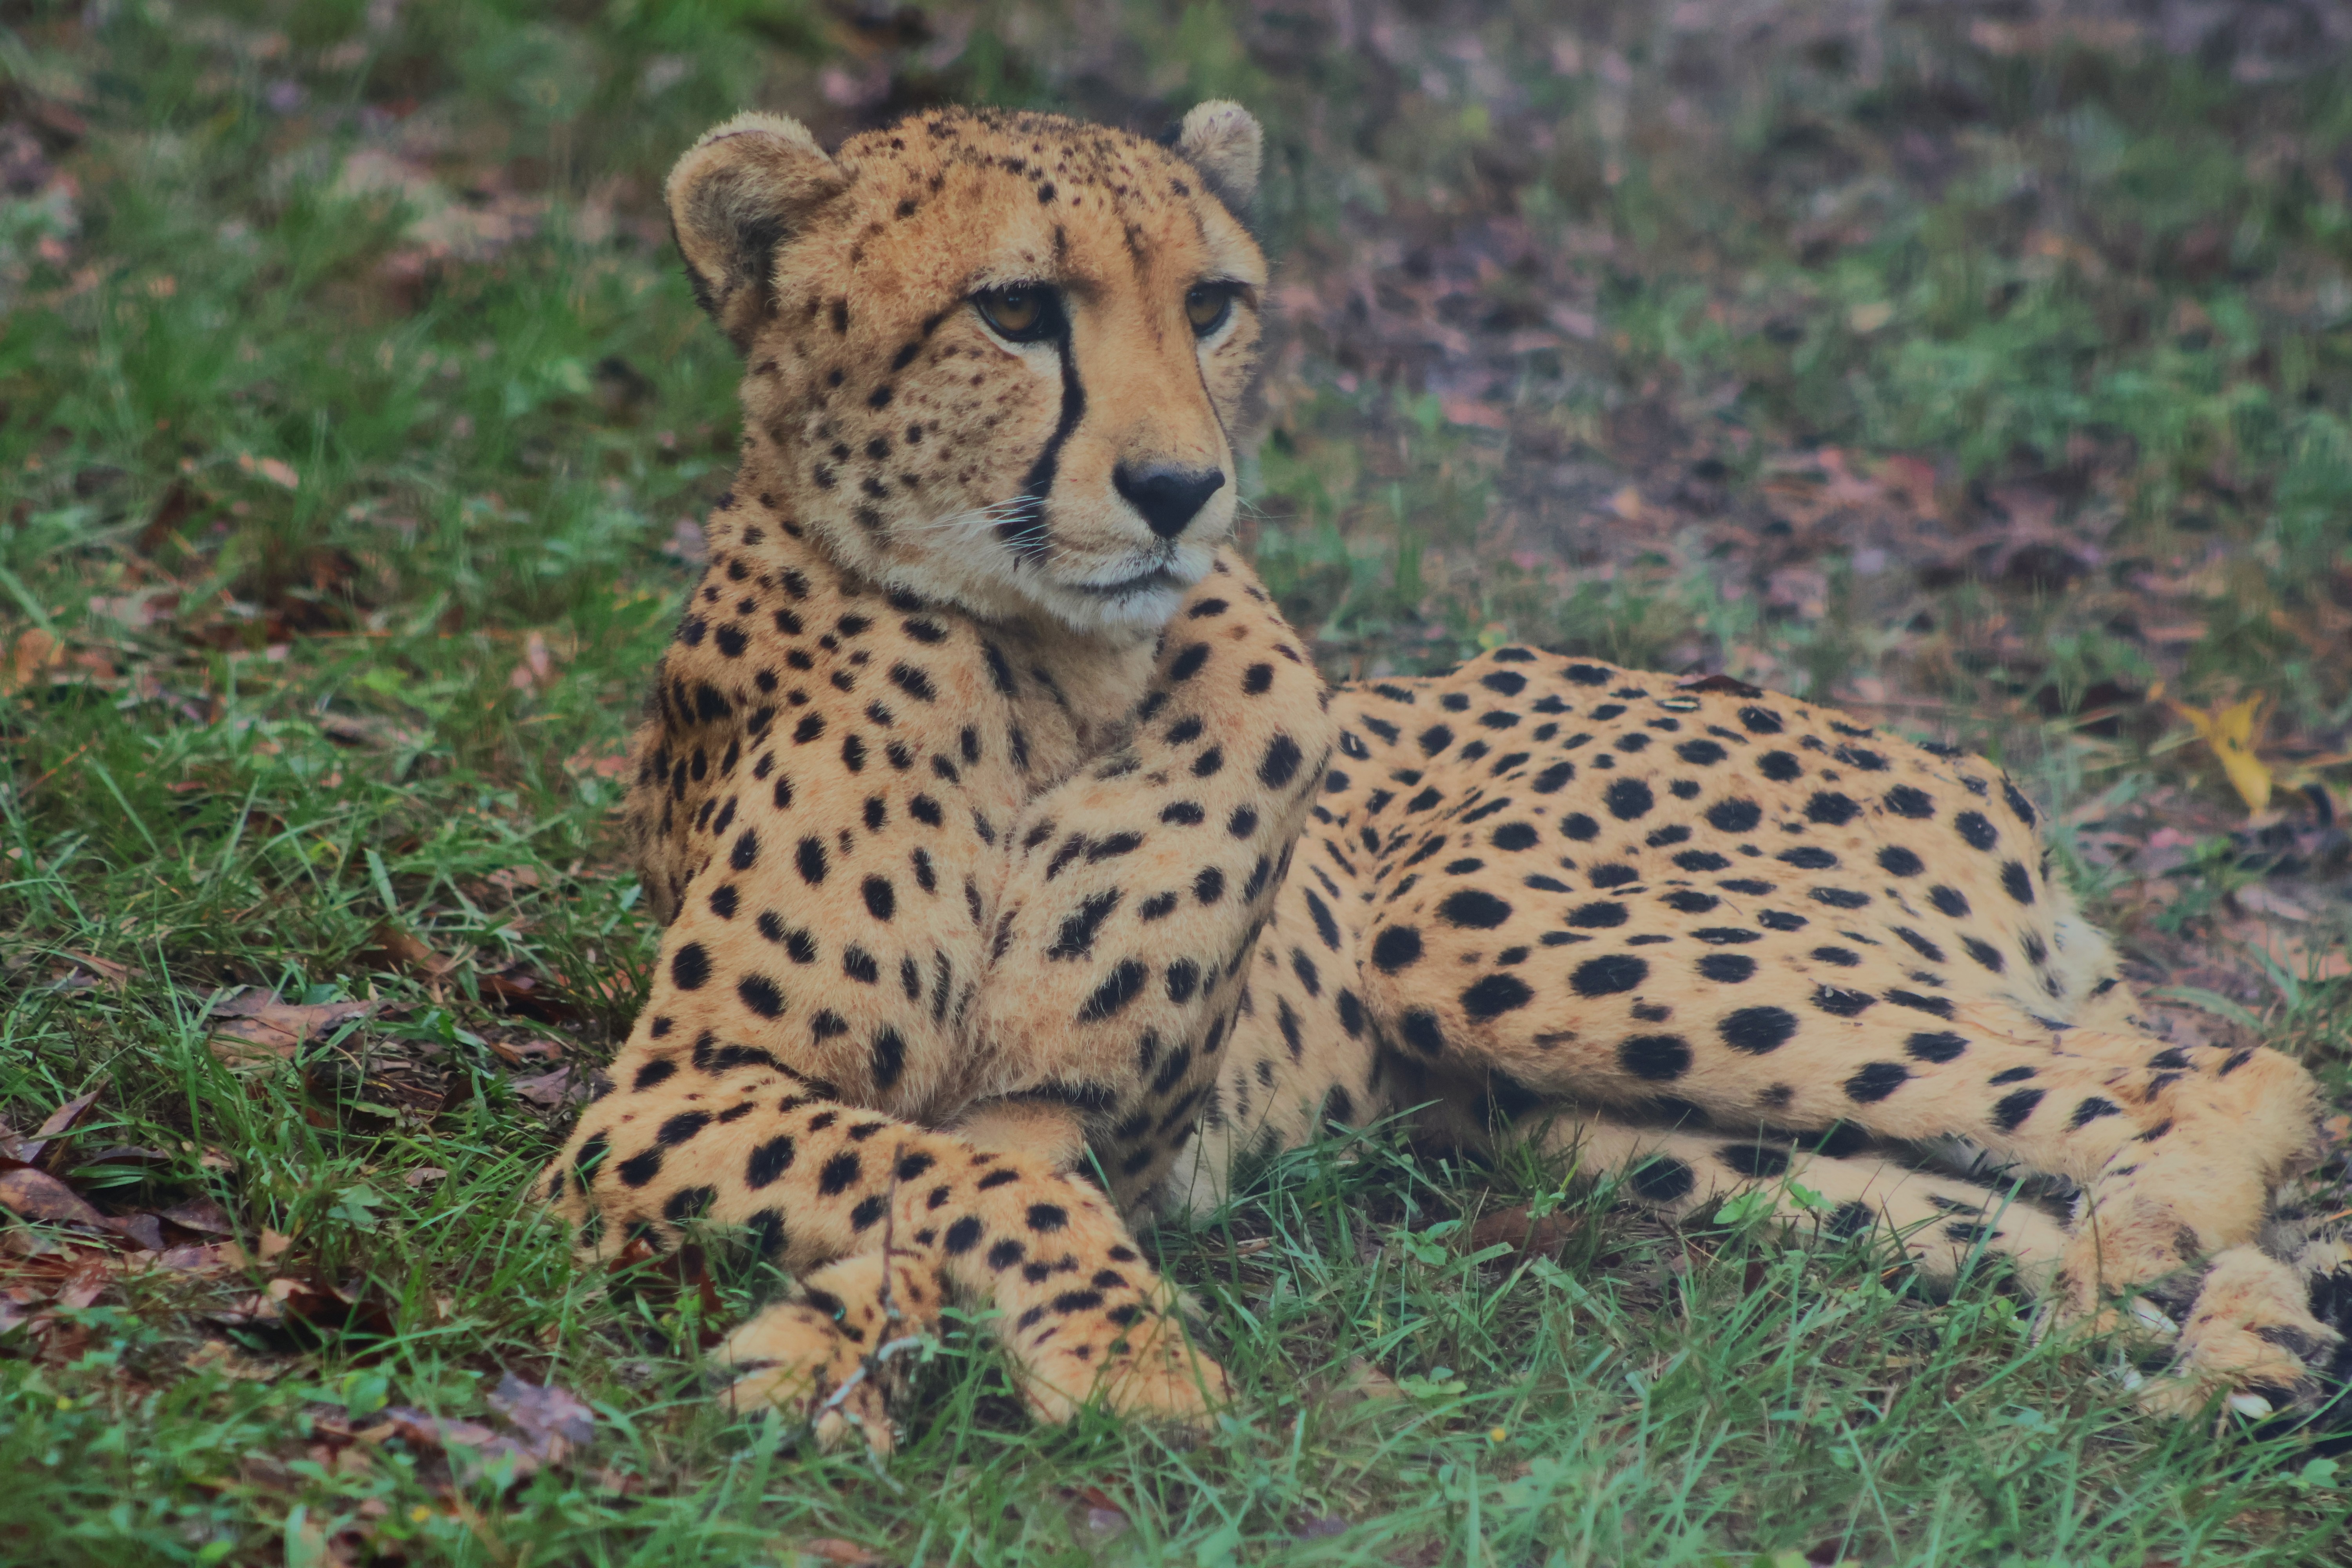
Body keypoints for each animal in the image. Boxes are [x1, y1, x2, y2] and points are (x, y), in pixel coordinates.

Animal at [539, 100, 2352, 1452]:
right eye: (1014, 309)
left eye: (1210, 304)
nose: (1182, 490)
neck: (1046, 670)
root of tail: (1951, 759)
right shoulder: (664, 1098)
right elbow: (934, 1171)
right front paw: (897, 1348)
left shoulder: (1085, 1113)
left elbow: (984, 1170)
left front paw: (1068, 1353)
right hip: (1599, 1123)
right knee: (2000, 1173)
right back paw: (2152, 1302)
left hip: (1475, 924)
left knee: (2229, 1070)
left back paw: (2172, 1261)